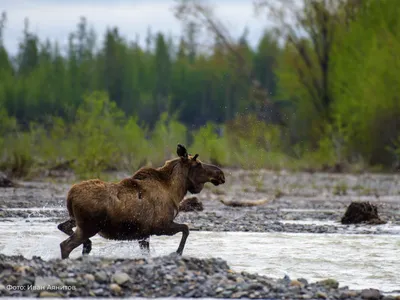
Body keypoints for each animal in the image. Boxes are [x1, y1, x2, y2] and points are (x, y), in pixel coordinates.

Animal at [57, 144, 225, 258]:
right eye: (198, 164)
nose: (221, 174)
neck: (176, 190)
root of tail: (70, 195)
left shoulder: (144, 234)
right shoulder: (160, 226)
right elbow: (186, 228)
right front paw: (177, 252)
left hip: (77, 221)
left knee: (62, 226)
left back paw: (87, 246)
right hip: (90, 226)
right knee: (65, 245)